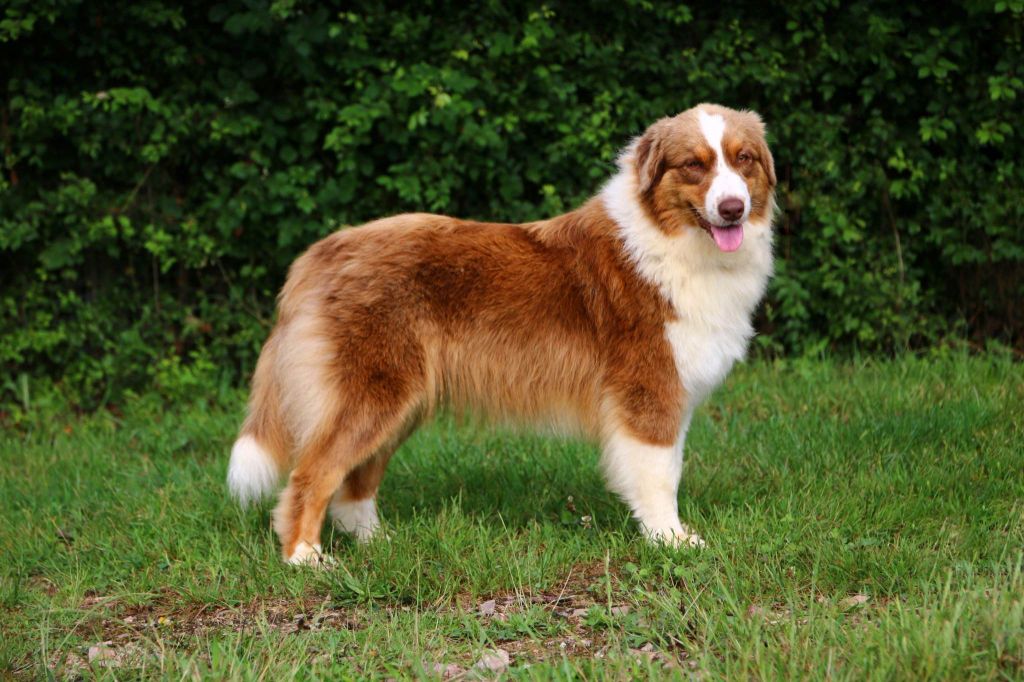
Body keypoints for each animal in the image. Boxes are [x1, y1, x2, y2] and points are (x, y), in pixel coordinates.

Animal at [228, 103, 776, 565]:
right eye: (693, 165)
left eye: (744, 159)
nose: (733, 207)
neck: (671, 241)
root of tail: (321, 252)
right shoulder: (650, 390)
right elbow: (660, 476)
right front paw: (671, 541)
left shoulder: (673, 395)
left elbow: (668, 468)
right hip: (371, 391)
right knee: (312, 472)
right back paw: (305, 558)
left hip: (401, 400)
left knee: (355, 479)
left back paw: (378, 543)